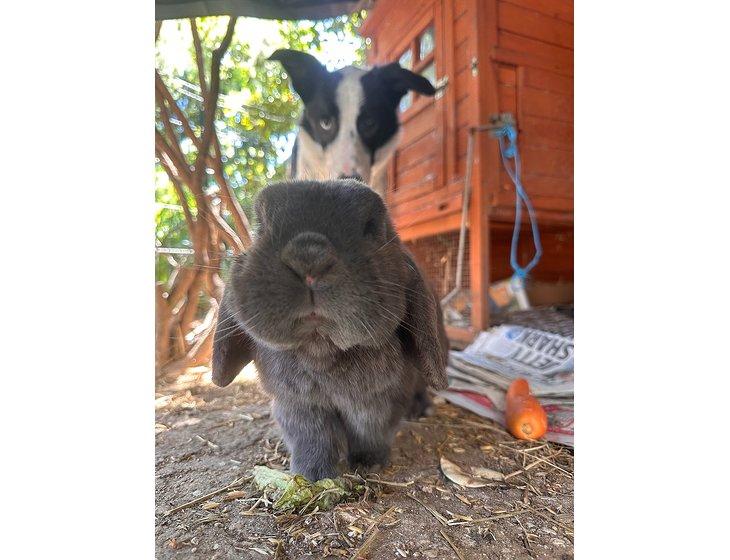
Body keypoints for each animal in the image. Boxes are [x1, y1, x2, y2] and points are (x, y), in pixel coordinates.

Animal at [210, 180, 450, 482]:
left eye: (370, 225)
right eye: (262, 225)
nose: (309, 256)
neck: (321, 349)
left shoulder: (379, 401)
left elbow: (370, 431)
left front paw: (369, 464)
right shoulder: (297, 404)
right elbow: (313, 438)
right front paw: (312, 475)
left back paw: (422, 410)